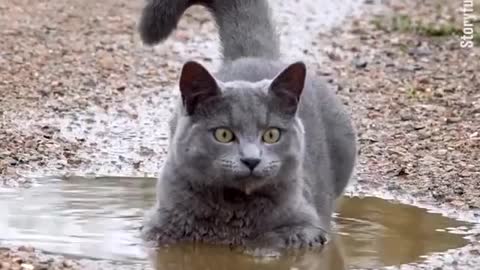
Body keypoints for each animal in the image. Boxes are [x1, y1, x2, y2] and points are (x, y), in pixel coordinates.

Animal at [139, 0, 356, 250]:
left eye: (272, 135)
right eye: (223, 134)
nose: (251, 160)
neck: (233, 209)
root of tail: (254, 56)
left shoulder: (309, 227)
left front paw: (260, 247)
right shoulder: (158, 225)